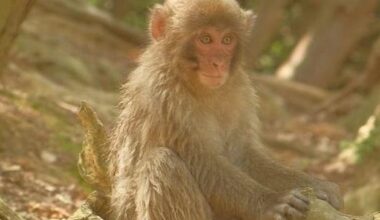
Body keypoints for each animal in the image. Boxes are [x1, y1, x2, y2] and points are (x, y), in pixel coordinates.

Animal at [107, 0, 344, 220]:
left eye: (227, 40)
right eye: (205, 39)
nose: (218, 63)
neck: (197, 87)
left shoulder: (241, 92)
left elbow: (241, 155)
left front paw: (315, 184)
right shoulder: (163, 95)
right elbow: (201, 160)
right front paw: (271, 202)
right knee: (162, 163)